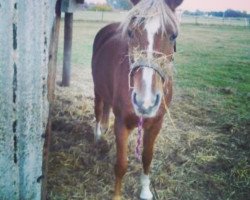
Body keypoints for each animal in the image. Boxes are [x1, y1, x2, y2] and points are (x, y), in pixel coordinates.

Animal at [91, 0, 183, 199]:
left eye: (173, 35)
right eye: (131, 32)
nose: (145, 102)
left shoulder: (156, 124)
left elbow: (147, 158)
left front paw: (146, 191)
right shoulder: (121, 124)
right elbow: (121, 164)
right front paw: (117, 196)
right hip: (97, 89)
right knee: (98, 109)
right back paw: (98, 135)